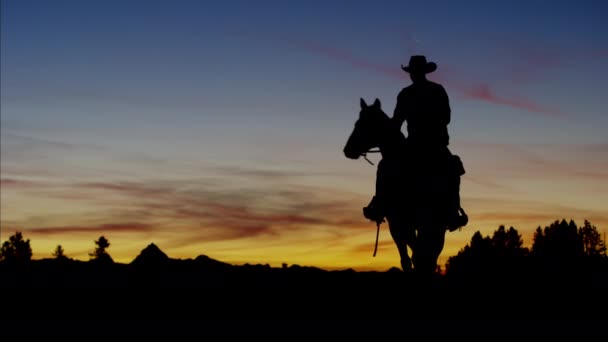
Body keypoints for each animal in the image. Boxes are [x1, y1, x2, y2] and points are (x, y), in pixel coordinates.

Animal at [342, 97, 466, 276]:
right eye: (357, 123)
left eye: (364, 124)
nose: (348, 150)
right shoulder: (397, 222)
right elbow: (408, 259)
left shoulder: (429, 223)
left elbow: (421, 256)